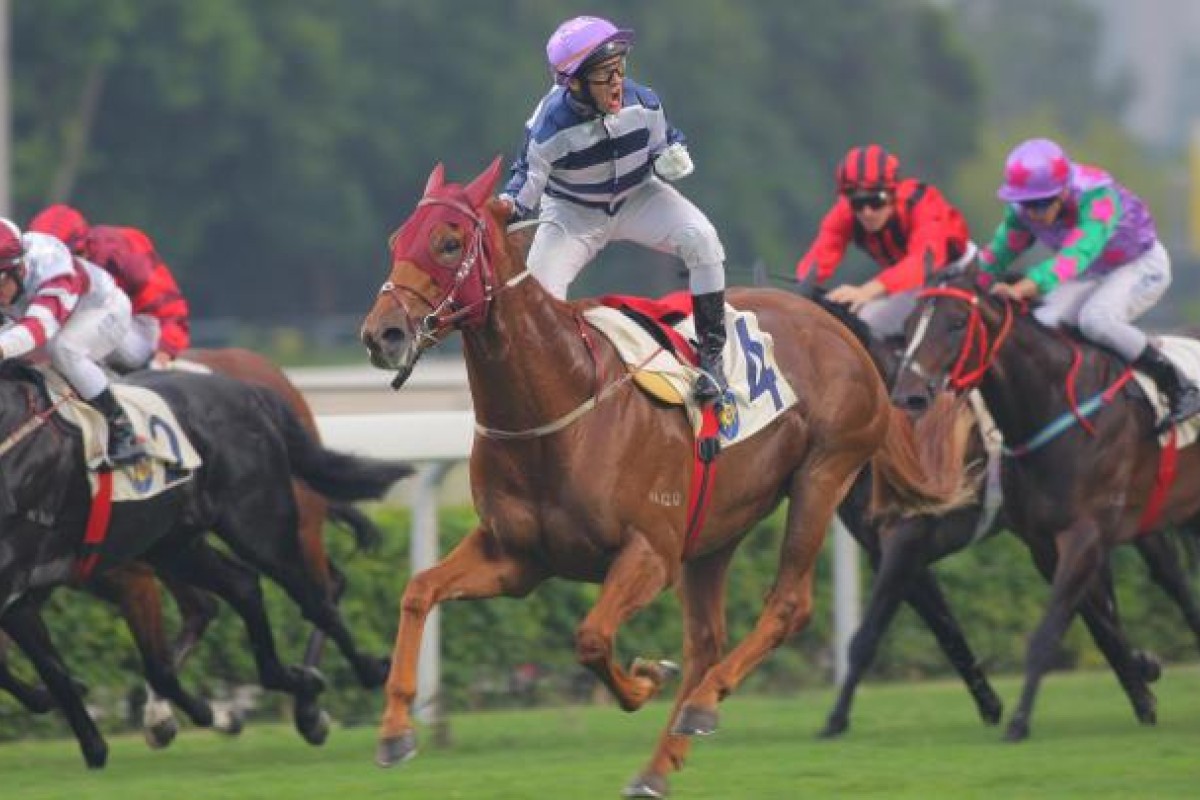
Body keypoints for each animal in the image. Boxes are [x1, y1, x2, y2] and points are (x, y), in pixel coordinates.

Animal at [0, 367, 412, 767]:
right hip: (176, 546)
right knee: (243, 587)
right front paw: (93, 743)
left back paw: (360, 680)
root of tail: (248, 391)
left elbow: (152, 667)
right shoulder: (22, 599)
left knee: (316, 600)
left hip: (257, 525)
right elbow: (53, 673)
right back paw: (296, 683)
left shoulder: (119, 578)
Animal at [355, 159, 974, 796]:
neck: (561, 404)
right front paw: (395, 731)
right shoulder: (518, 557)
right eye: (396, 241)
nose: (382, 334)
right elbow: (419, 590)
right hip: (717, 530)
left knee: (788, 605)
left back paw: (702, 703)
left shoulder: (651, 552)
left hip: (822, 476)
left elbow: (591, 637)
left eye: (448, 243)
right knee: (706, 640)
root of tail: (836, 326)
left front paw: (646, 677)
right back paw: (659, 763)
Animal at [892, 268, 1200, 743]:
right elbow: (1101, 627)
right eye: (908, 326)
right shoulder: (1043, 543)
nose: (908, 397)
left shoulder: (1084, 533)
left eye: (957, 323)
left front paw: (1018, 722)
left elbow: (1049, 630)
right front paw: (1144, 692)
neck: (1052, 406)